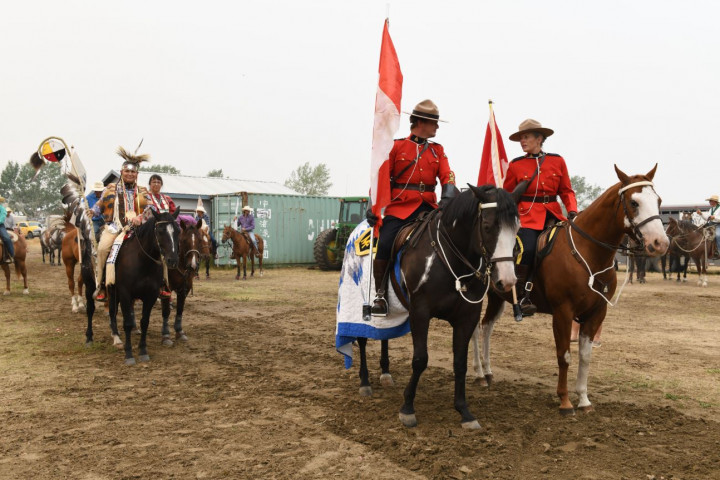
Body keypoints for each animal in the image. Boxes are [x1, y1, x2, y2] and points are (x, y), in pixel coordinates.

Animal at [472, 164, 668, 412]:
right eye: (634, 203)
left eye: (658, 200)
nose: (660, 243)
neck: (588, 252)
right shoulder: (563, 312)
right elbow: (564, 355)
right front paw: (565, 401)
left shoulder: (596, 313)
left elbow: (585, 356)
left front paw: (583, 399)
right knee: (474, 329)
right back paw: (479, 374)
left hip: (498, 296)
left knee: (486, 327)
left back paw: (487, 372)